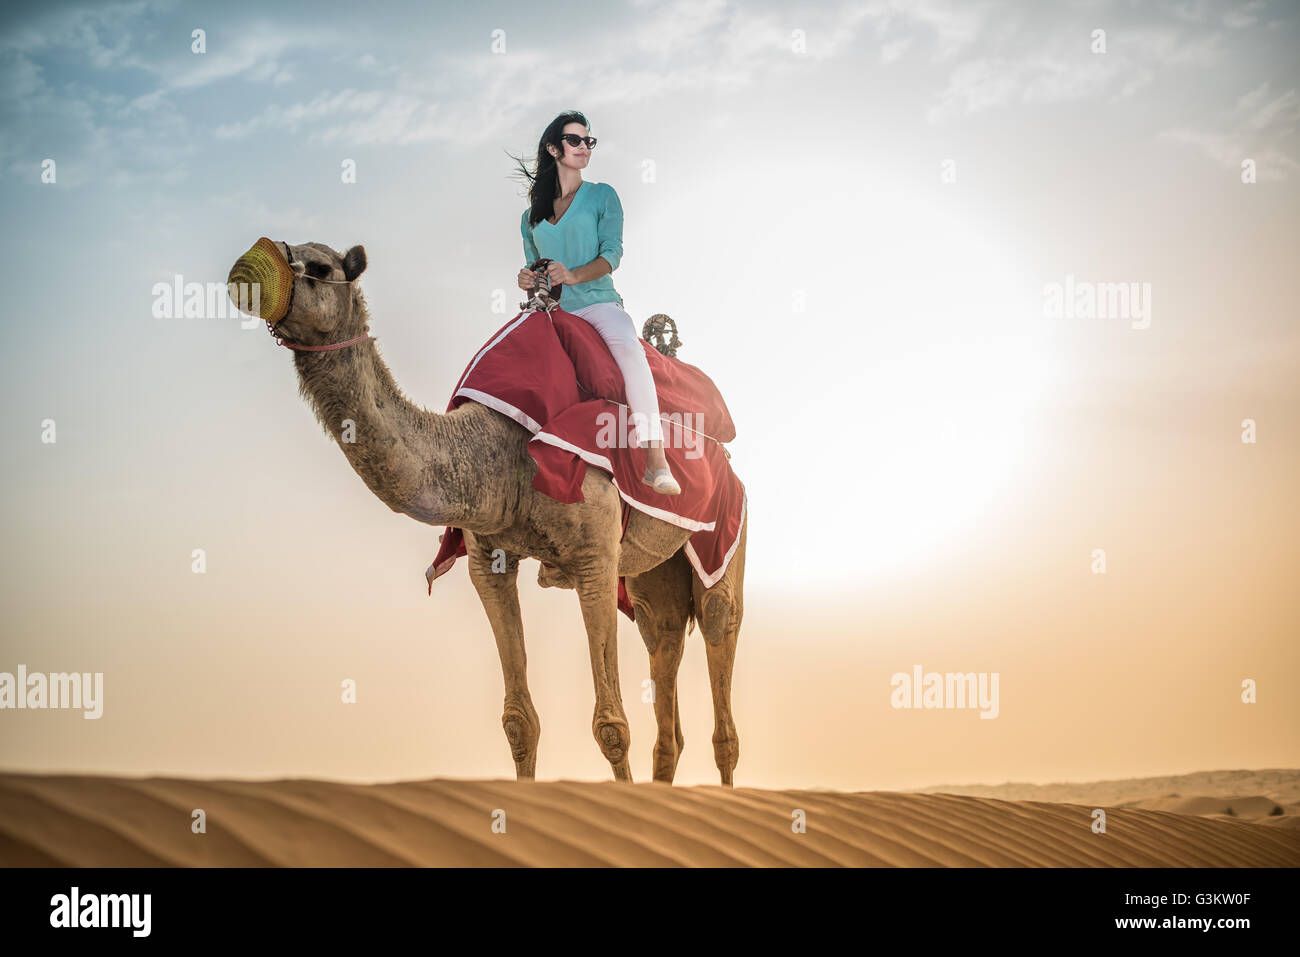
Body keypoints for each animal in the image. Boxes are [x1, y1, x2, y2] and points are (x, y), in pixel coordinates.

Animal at [228, 239, 748, 785]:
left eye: (321, 267)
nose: (248, 271)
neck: (496, 450)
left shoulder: (595, 558)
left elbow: (611, 723)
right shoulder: (488, 558)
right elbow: (519, 720)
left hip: (726, 528)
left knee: (719, 638)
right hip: (652, 577)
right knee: (662, 643)